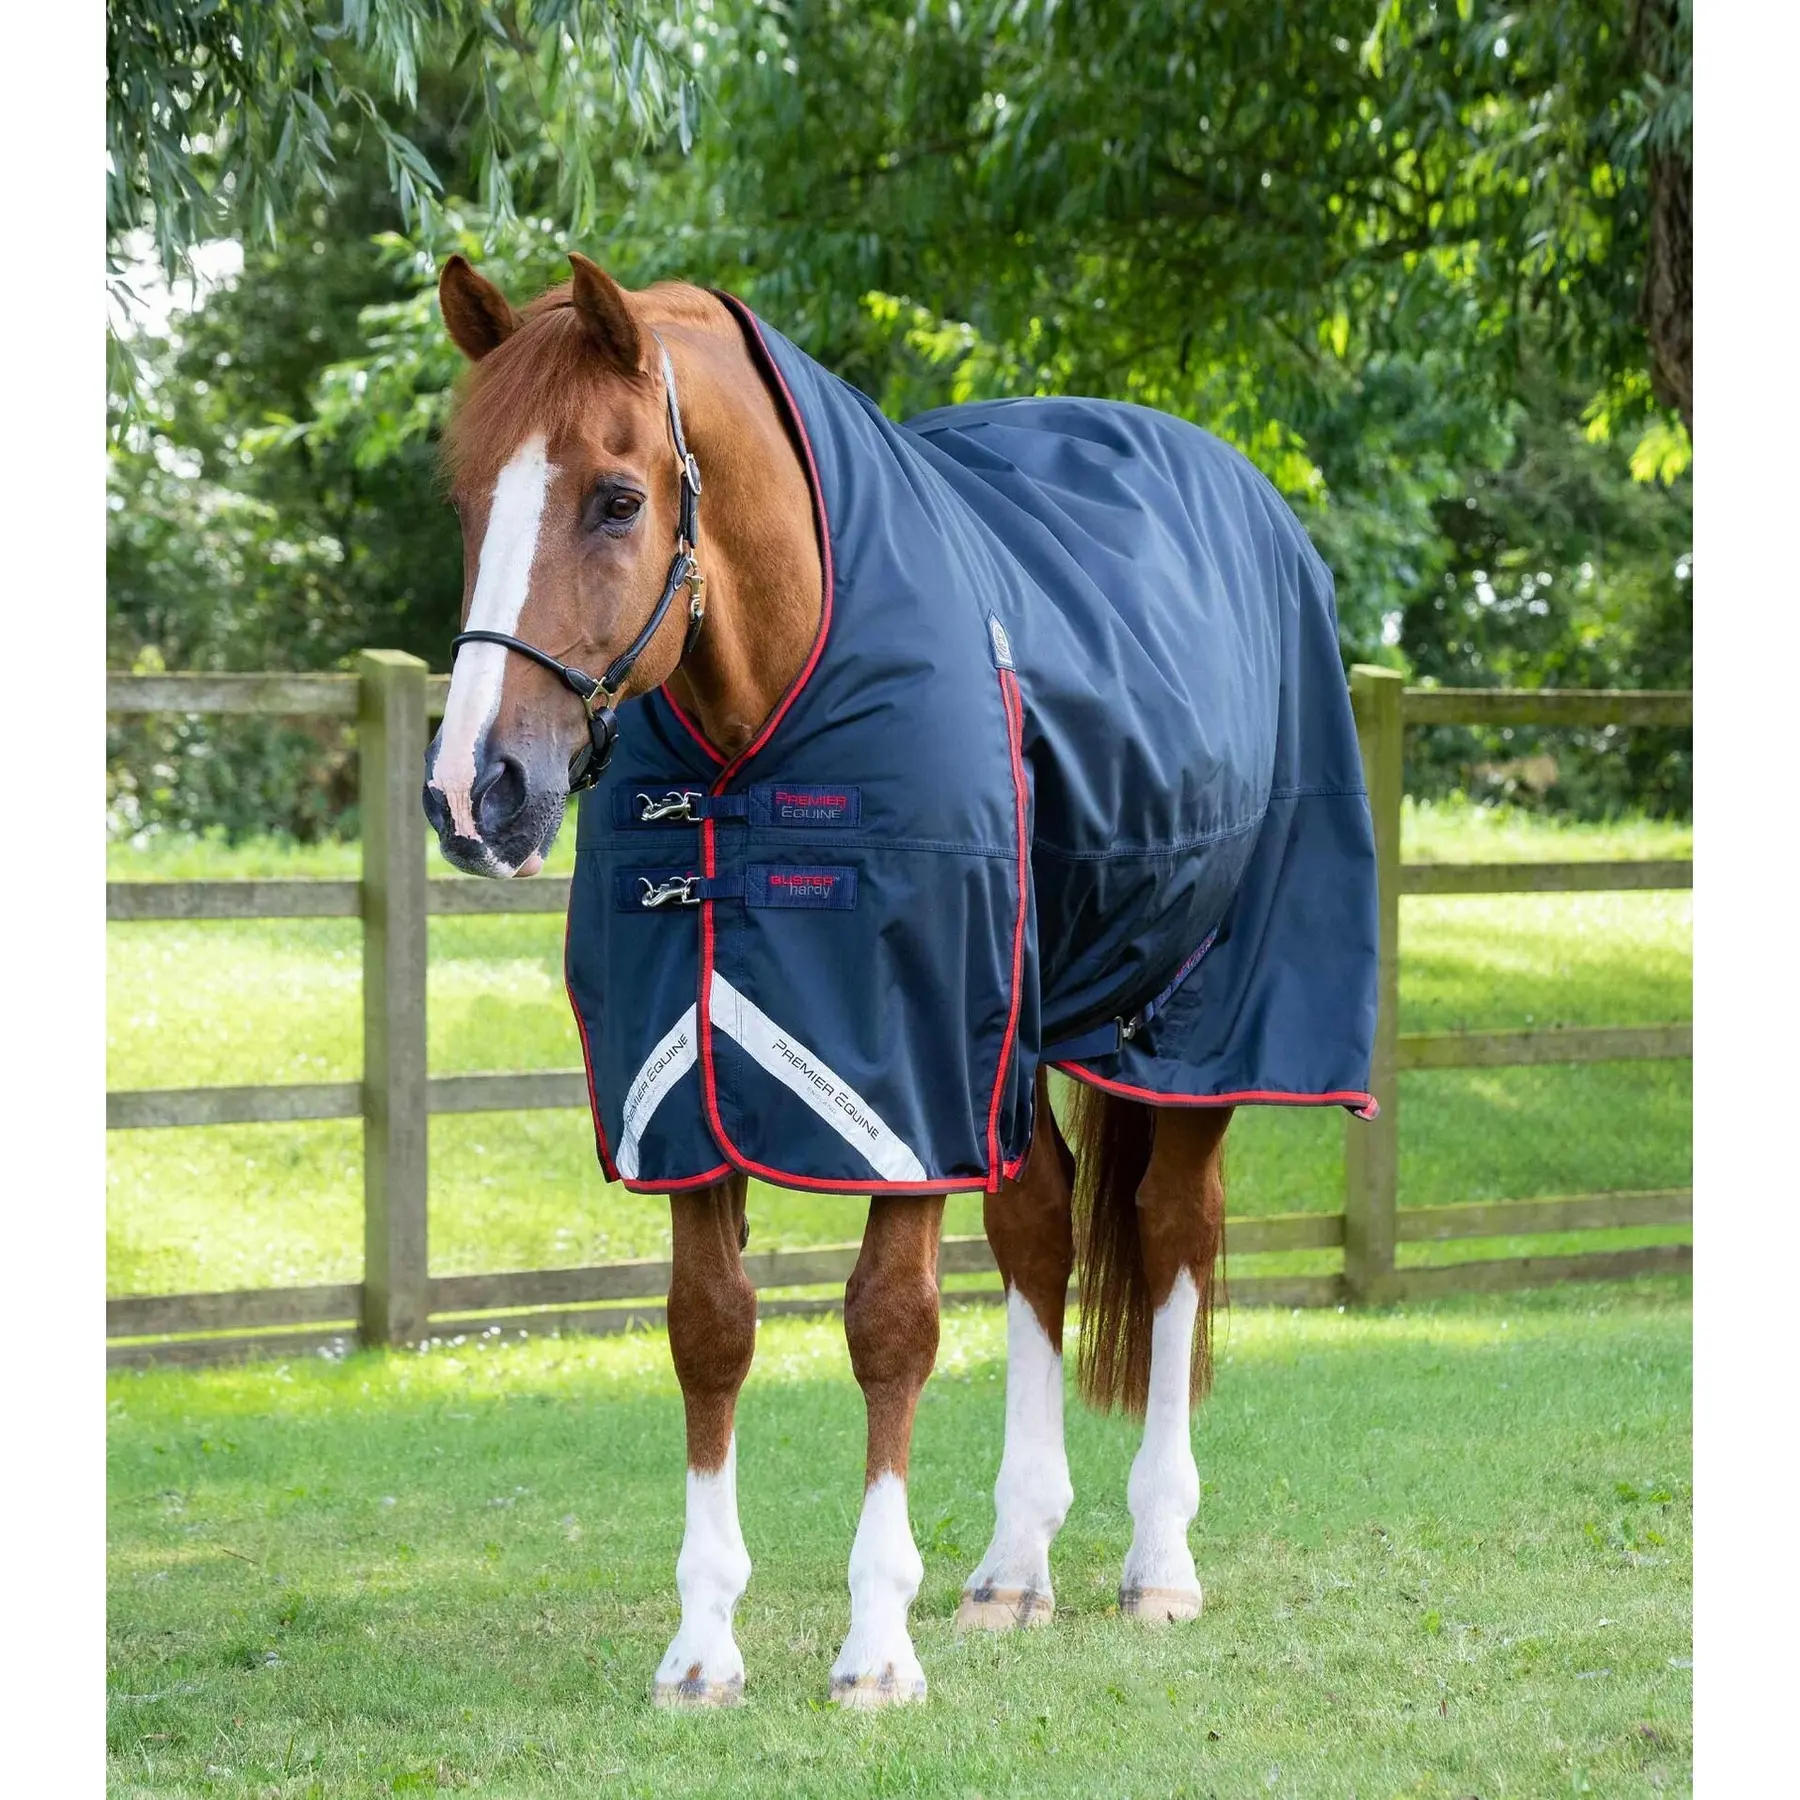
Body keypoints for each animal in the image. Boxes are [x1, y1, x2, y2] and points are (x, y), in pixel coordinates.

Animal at [421, 252, 1377, 1708]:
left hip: (1195, 1025)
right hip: (1022, 1035)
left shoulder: (910, 1078)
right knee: (1042, 1227)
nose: (476, 790)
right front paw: (702, 1649)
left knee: (1168, 1237)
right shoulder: (687, 1086)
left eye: (618, 498)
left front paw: (875, 1645)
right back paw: (1014, 1568)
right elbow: (710, 1328)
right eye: (466, 497)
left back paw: (1158, 1560)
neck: (779, 700)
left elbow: (890, 1329)